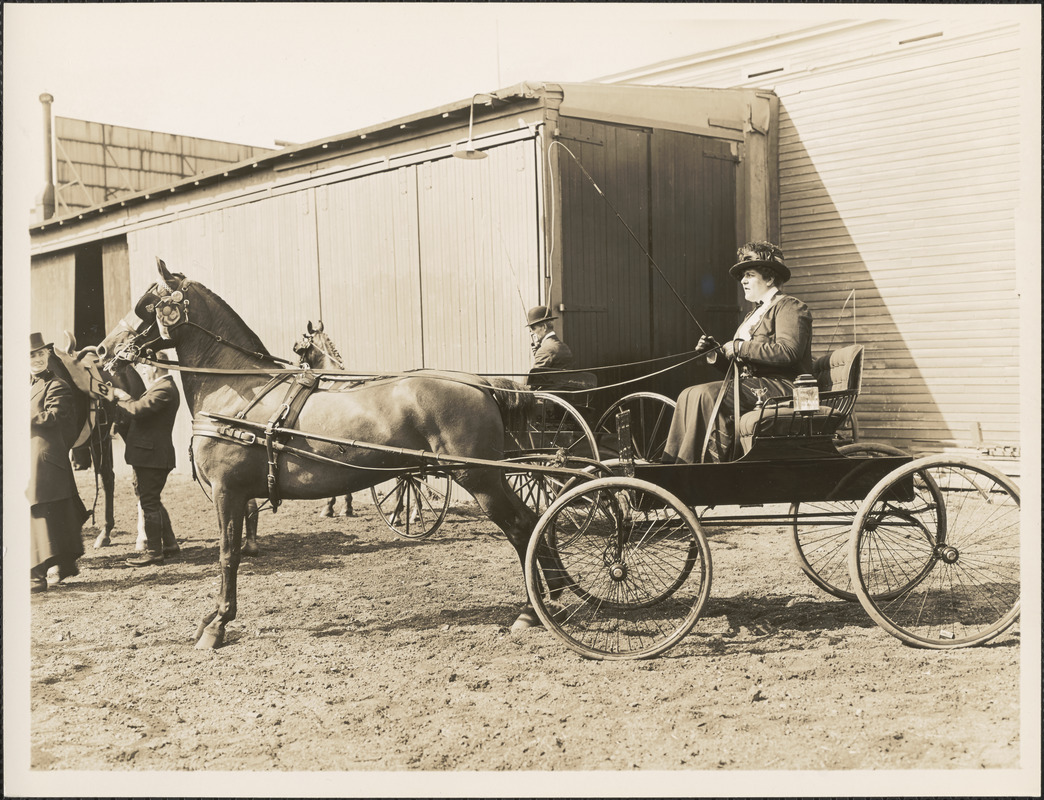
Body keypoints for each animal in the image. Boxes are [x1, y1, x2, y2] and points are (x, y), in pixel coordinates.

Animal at [91, 263, 555, 651]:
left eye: (146, 304)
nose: (102, 350)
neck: (233, 388)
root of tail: (482, 383)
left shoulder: (227, 492)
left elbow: (227, 556)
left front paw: (218, 624)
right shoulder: (239, 494)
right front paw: (214, 618)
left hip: (479, 479)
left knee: (523, 527)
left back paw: (534, 609)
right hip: (488, 478)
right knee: (533, 523)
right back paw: (554, 596)